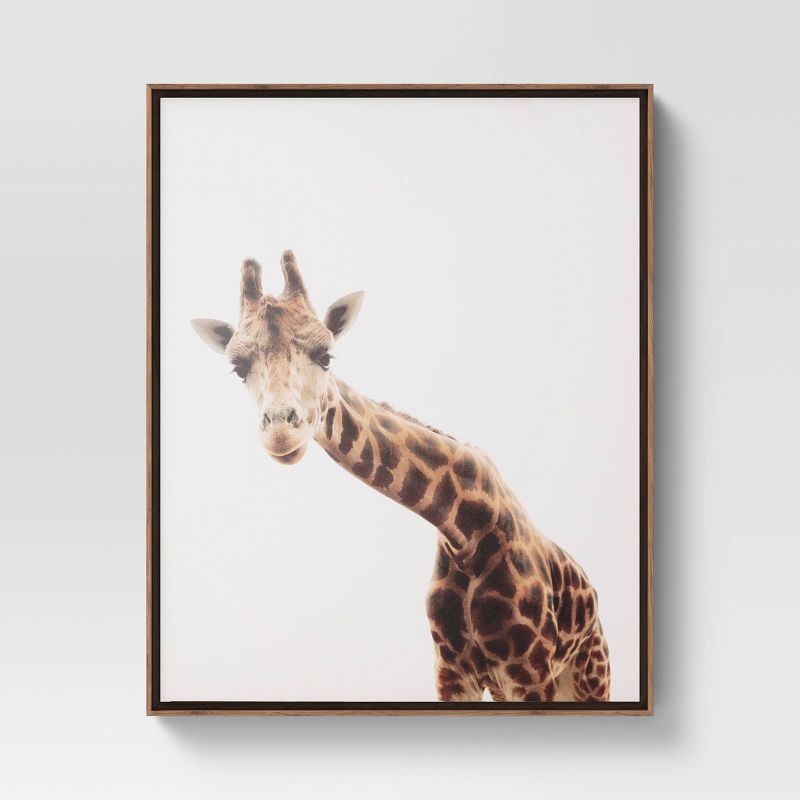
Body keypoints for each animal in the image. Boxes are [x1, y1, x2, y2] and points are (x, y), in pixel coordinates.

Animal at [191, 251, 611, 702]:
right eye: (238, 368)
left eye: (326, 356)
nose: (281, 433)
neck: (464, 532)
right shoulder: (452, 670)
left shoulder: (529, 670)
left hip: (589, 676)